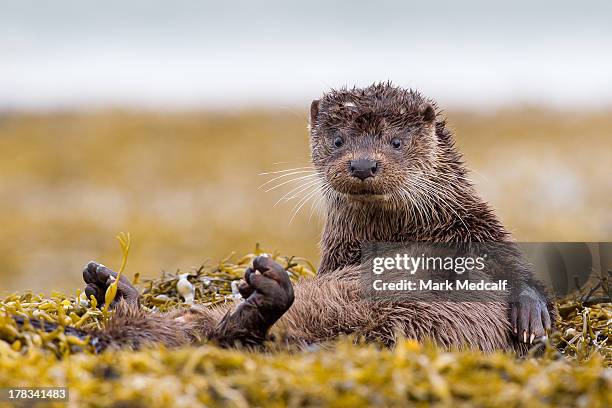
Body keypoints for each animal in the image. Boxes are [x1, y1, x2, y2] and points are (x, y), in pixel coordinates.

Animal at [29, 83, 560, 354]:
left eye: (396, 141)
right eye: (338, 139)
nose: (362, 164)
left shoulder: (475, 224)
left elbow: (517, 269)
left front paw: (531, 316)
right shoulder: (337, 256)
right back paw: (110, 286)